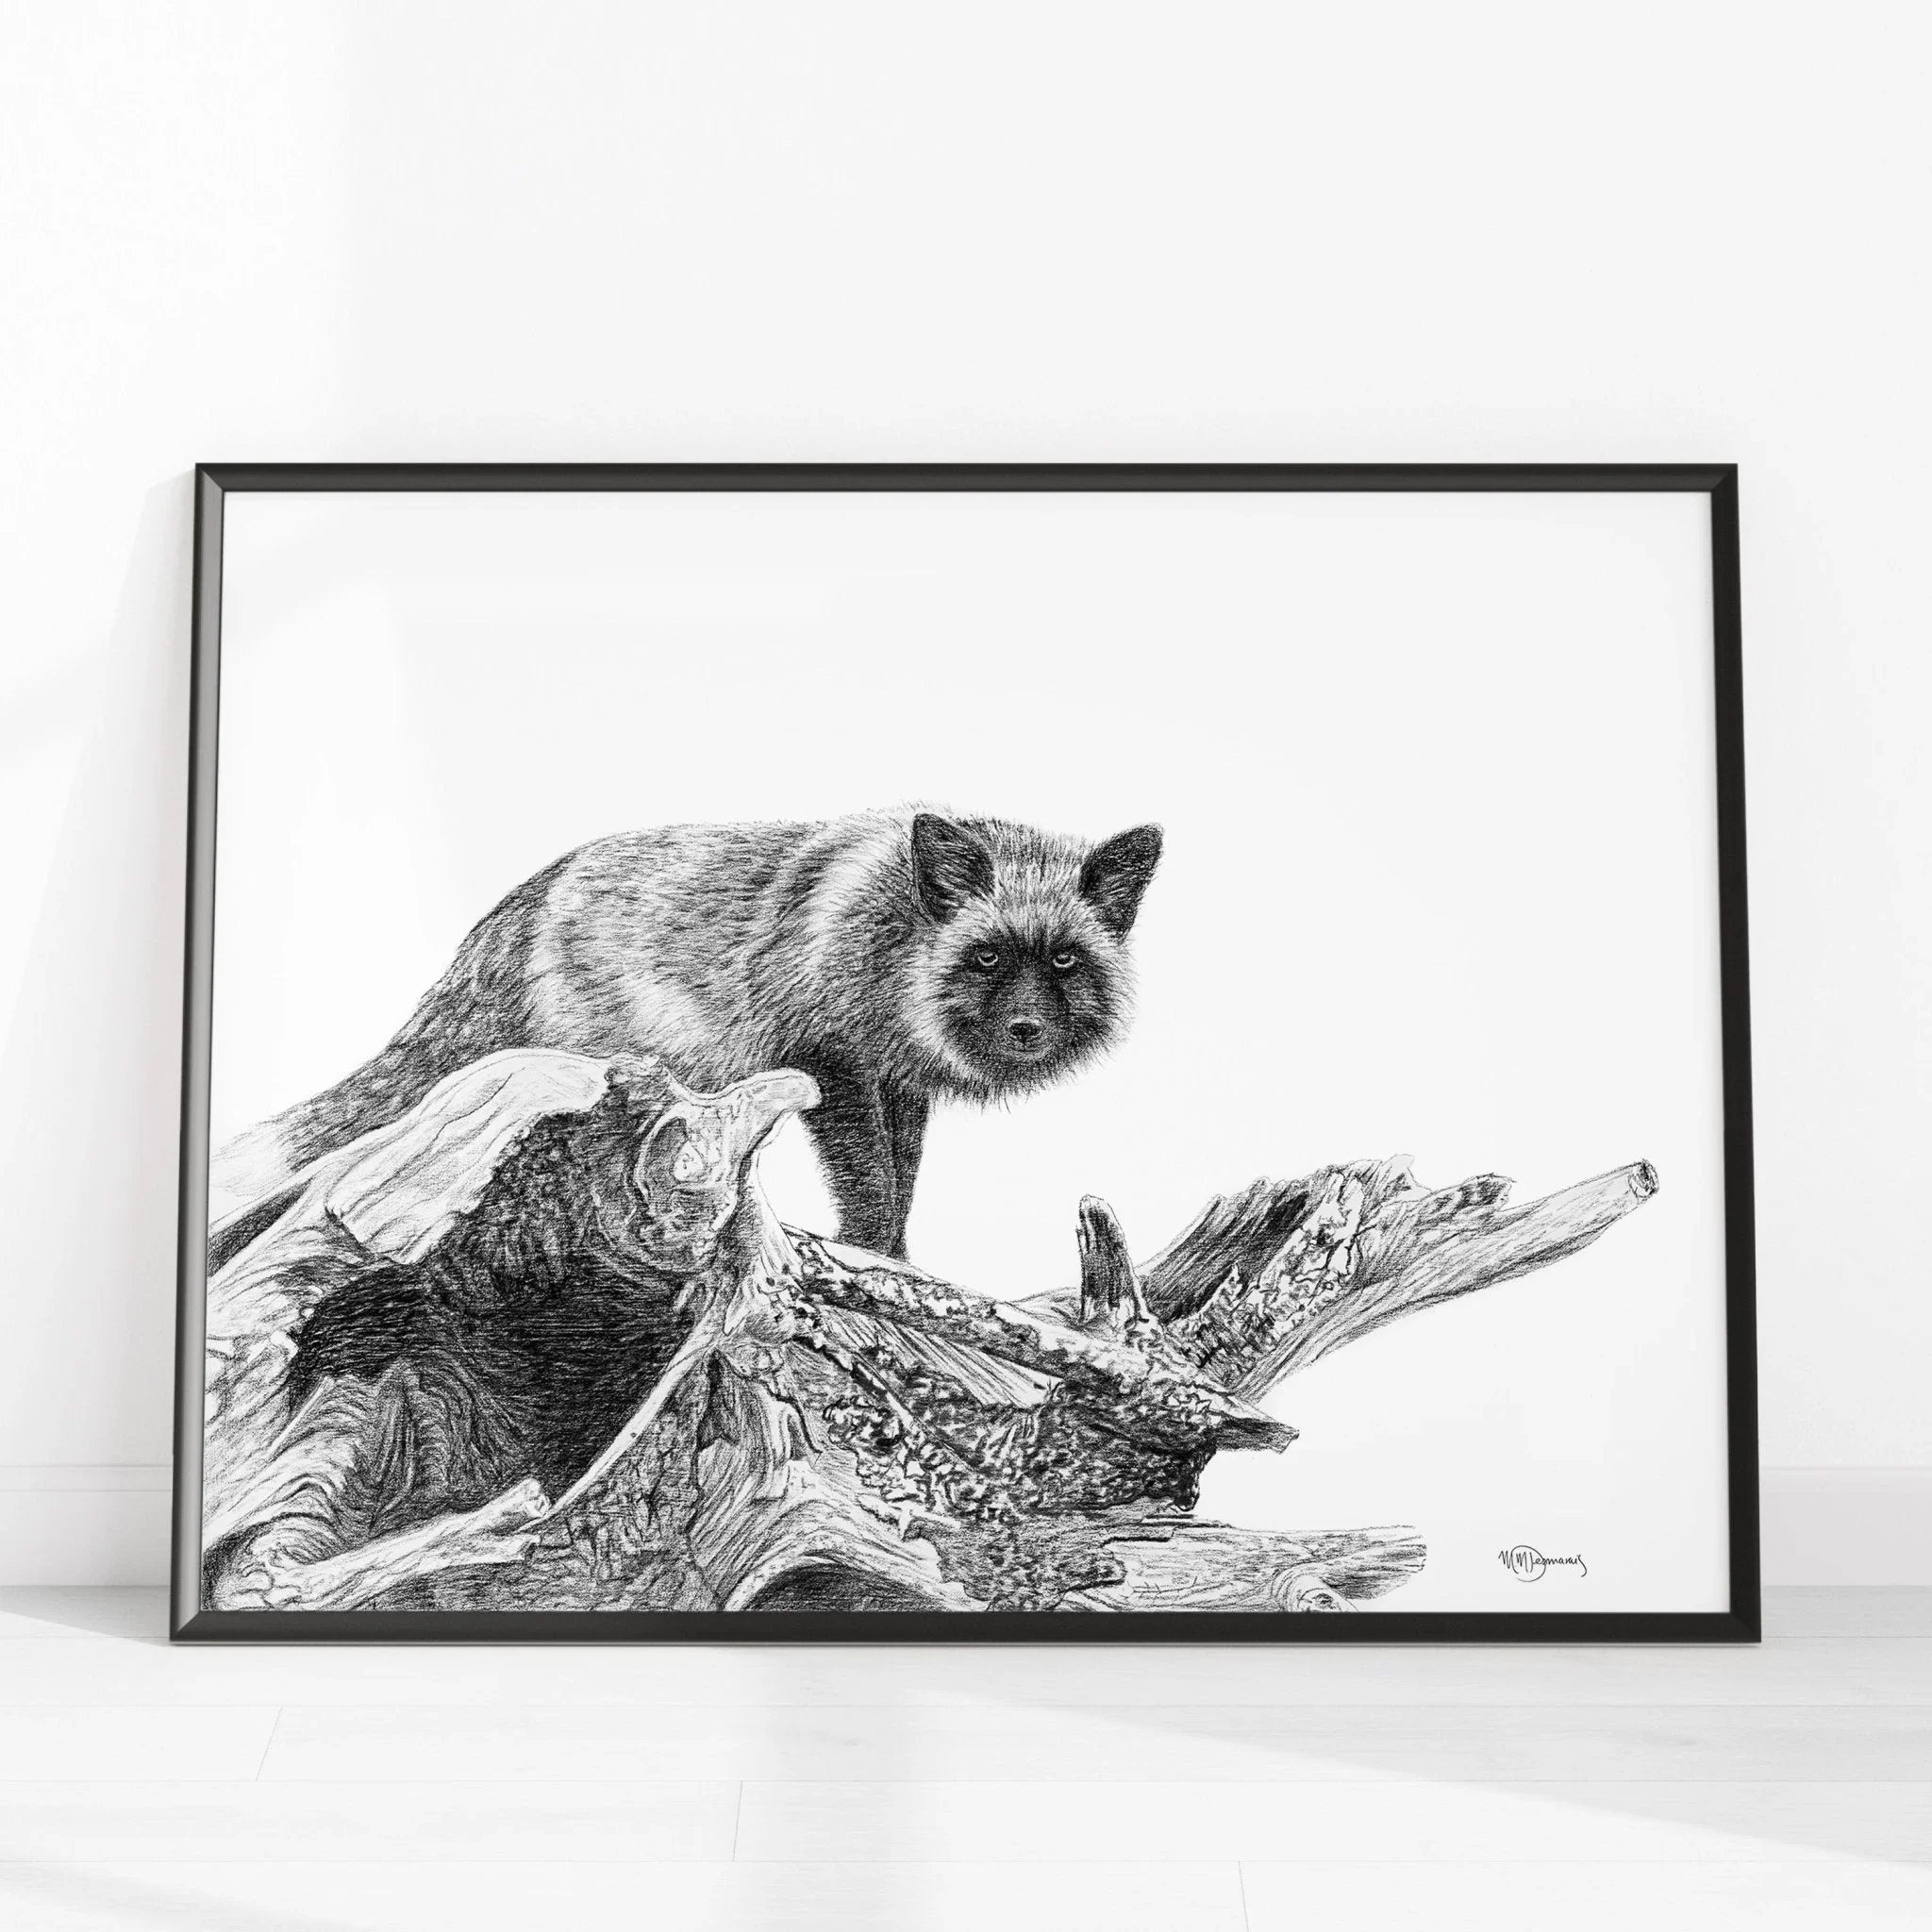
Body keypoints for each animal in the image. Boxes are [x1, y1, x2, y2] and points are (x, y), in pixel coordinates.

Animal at [214, 808, 1163, 1258]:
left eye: (1066, 961)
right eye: (989, 957)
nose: (1028, 1030)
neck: (893, 938)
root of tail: (516, 906)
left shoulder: (895, 1084)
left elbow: (903, 1178)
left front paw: (899, 1256)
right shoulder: (827, 1064)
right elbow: (871, 1185)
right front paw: (877, 1256)